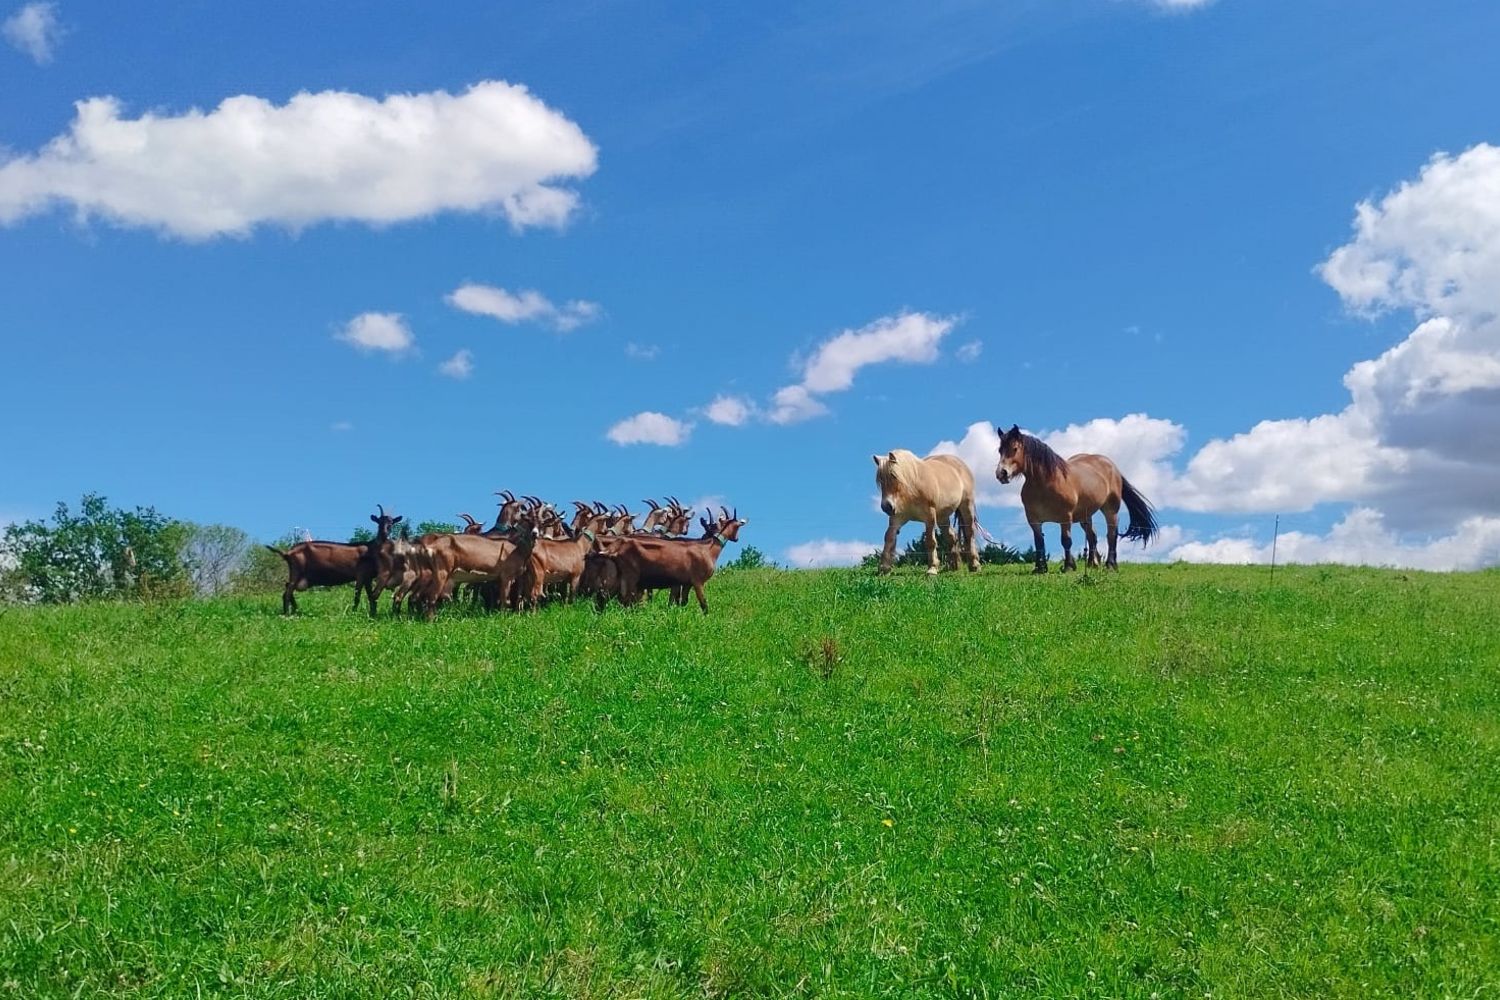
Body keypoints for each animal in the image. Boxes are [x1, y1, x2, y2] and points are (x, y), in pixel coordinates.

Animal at [996, 425, 1158, 575]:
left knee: (1111, 534)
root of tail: (1112, 466)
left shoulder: (1065, 517)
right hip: (1085, 516)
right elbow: (1039, 543)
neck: (1045, 483)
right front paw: (1039, 568)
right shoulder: (1034, 520)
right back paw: (1093, 564)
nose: (1001, 474)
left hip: (1110, 509)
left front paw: (1068, 566)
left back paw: (1110, 565)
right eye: (1000, 450)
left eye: (1015, 448)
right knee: (1092, 536)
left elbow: (1066, 541)